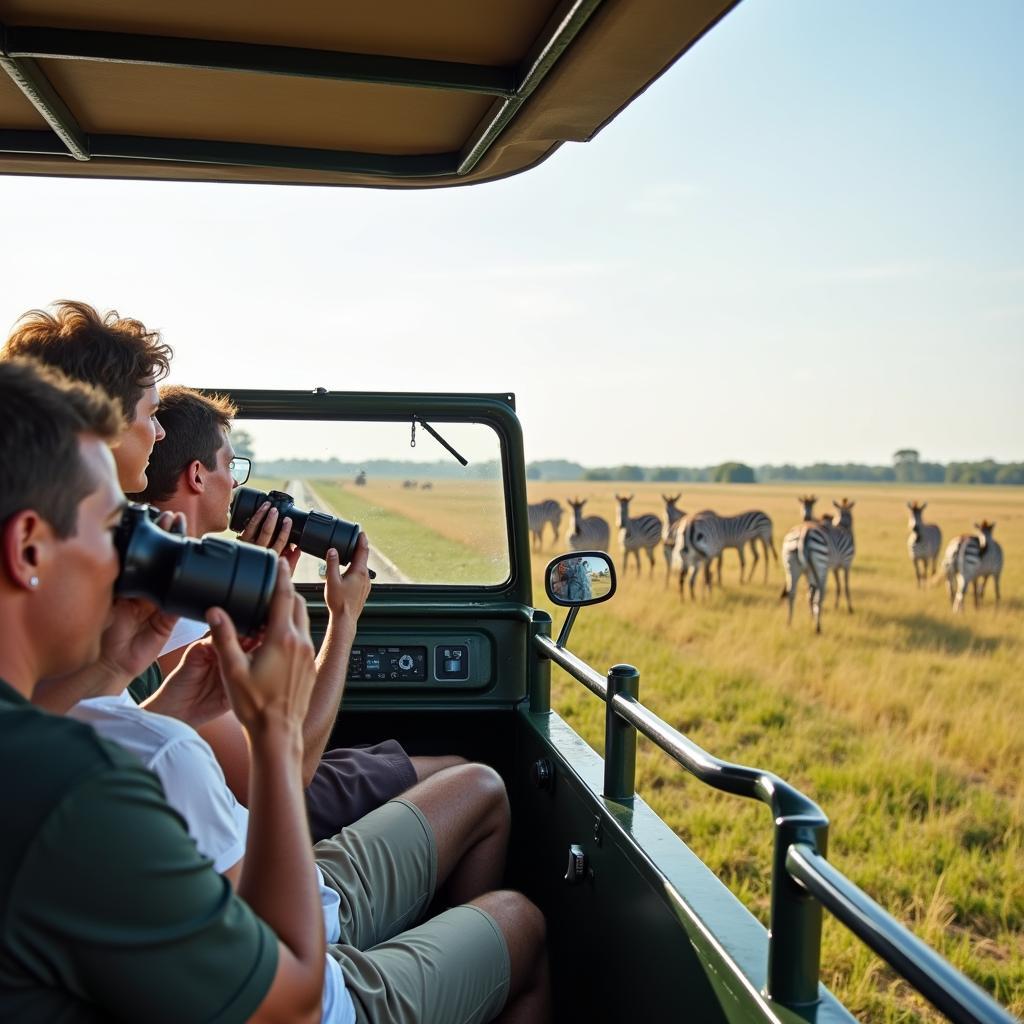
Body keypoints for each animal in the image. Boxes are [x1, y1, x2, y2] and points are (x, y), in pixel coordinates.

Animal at [782, 497, 856, 630]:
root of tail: (804, 532)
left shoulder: (833, 567)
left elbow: (837, 586)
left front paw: (834, 606)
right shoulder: (846, 564)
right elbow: (846, 586)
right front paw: (849, 608)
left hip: (793, 565)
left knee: (793, 592)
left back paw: (790, 623)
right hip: (821, 568)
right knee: (820, 593)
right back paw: (818, 627)